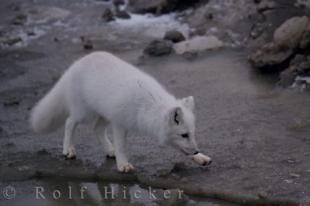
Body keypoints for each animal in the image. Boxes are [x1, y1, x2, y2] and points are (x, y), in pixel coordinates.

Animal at [30, 51, 212, 172]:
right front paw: (123, 164)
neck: (147, 105)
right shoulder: (119, 123)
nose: (196, 150)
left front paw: (200, 158)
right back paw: (68, 149)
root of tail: (75, 64)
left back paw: (109, 151)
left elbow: (182, 150)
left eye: (192, 133)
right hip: (85, 114)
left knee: (96, 129)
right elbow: (122, 146)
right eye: (184, 135)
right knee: (69, 122)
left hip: (104, 114)